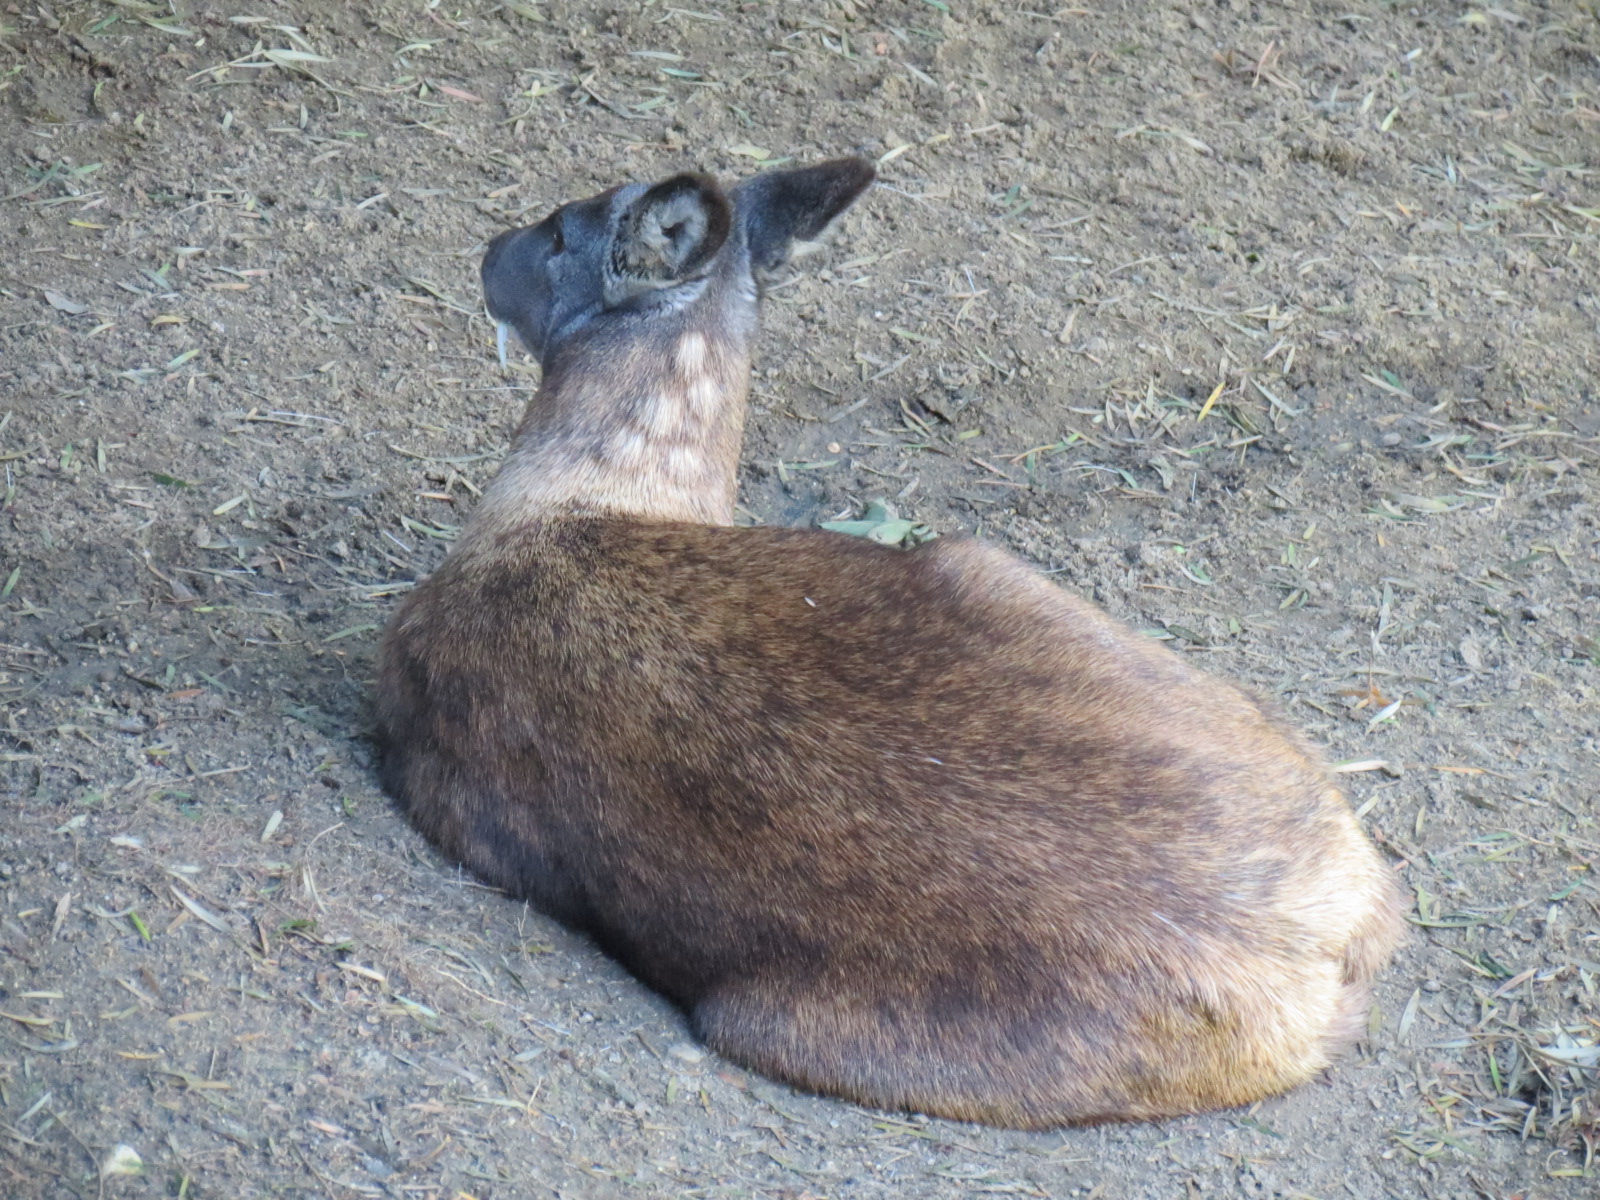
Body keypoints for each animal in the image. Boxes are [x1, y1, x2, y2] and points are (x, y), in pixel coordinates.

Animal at [374, 157, 1404, 1128]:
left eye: (560, 232)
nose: (489, 250)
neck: (587, 498)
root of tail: (1347, 937)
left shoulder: (444, 777)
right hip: (992, 565)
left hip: (782, 1022)